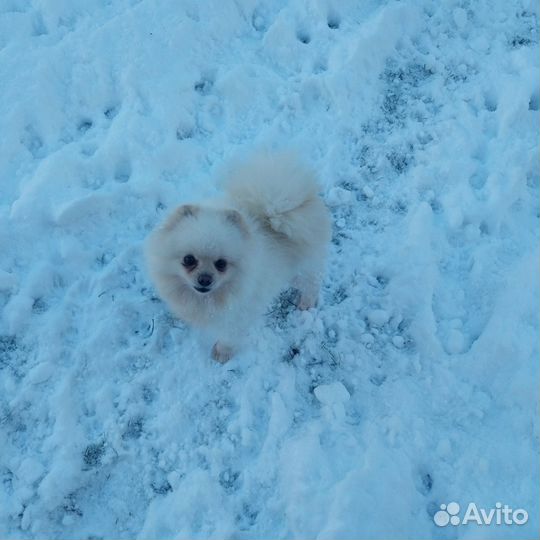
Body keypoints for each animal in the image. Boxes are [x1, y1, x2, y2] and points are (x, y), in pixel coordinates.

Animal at [144, 152, 330, 362]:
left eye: (221, 264)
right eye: (188, 260)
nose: (205, 279)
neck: (209, 299)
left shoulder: (239, 315)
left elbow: (229, 336)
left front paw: (222, 353)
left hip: (302, 268)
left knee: (312, 282)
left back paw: (306, 302)